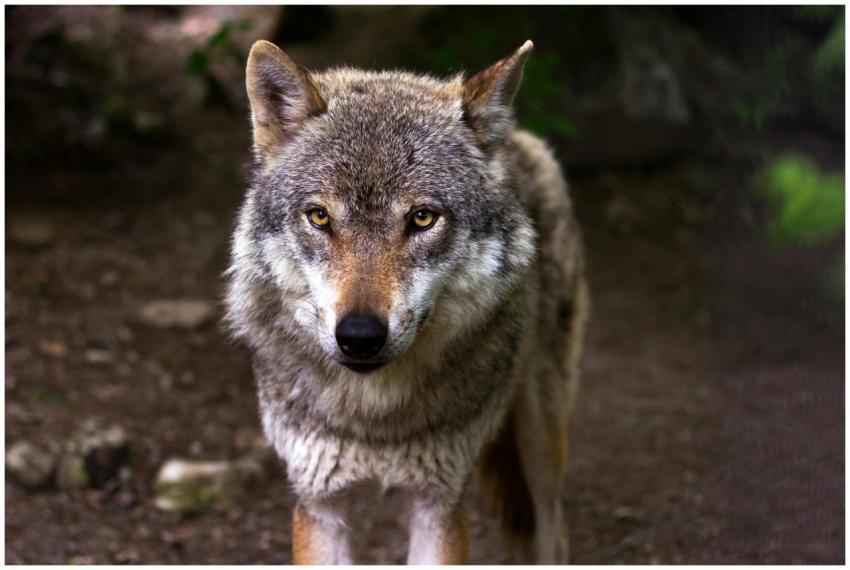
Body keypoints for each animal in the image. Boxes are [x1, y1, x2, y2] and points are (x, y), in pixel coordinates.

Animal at [224, 38, 588, 564]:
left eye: (421, 218)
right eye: (319, 216)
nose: (359, 337)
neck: (375, 418)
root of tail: (517, 138)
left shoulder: (439, 503)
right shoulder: (319, 504)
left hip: (541, 437)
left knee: (553, 529)